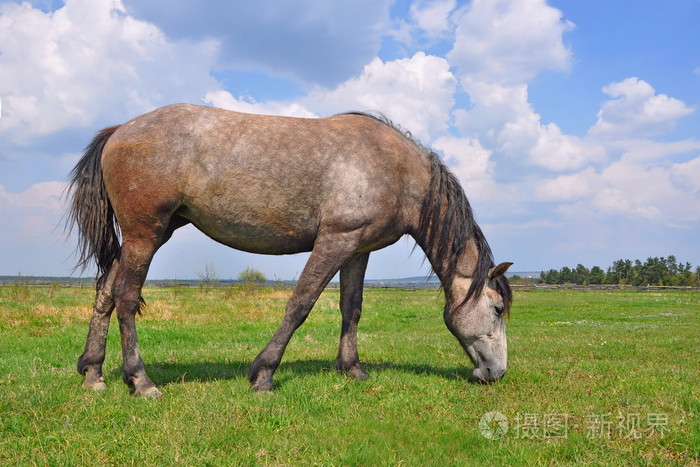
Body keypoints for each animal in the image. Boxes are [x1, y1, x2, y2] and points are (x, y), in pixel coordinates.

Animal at [65, 104, 512, 396]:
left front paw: (352, 369)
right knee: (126, 298)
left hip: (153, 234)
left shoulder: (357, 249)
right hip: (145, 234)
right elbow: (300, 304)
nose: (496, 372)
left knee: (106, 292)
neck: (396, 168)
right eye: (497, 309)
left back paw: (93, 374)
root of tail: (121, 129)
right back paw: (141, 381)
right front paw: (263, 375)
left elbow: (352, 308)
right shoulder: (334, 241)